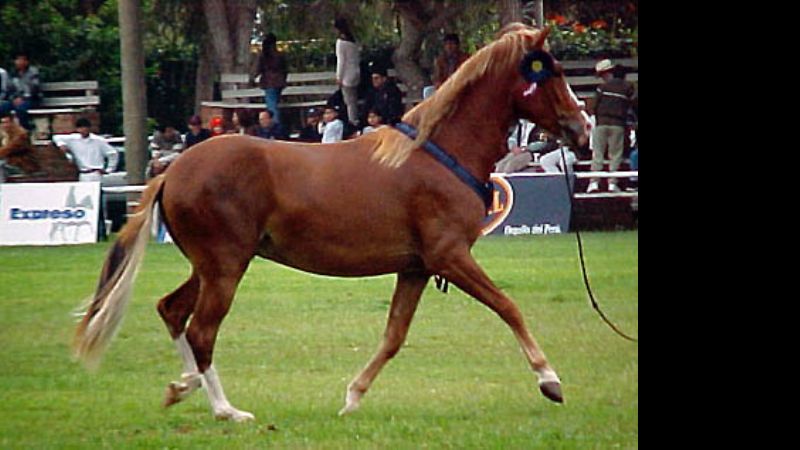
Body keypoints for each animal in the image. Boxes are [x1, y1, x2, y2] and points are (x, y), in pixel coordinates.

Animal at [73, 23, 590, 422]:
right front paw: (550, 380)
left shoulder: (417, 268)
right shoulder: (451, 257)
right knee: (201, 329)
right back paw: (226, 410)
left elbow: (394, 336)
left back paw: (185, 386)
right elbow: (508, 307)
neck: (439, 154)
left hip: (209, 266)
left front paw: (353, 397)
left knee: (172, 311)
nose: (582, 129)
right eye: (551, 72)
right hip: (225, 266)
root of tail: (172, 170)